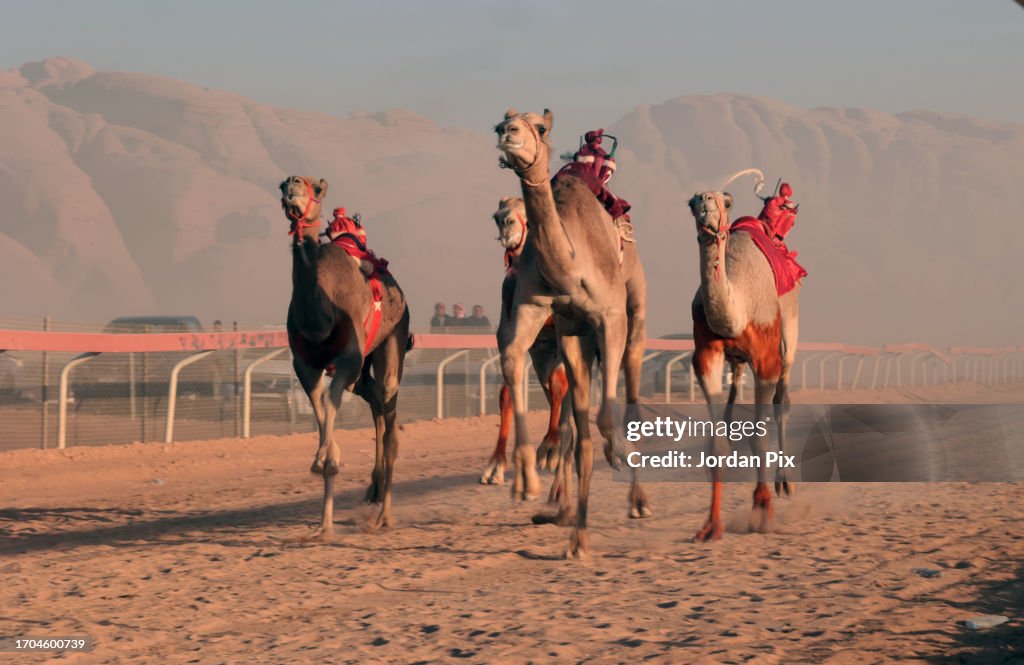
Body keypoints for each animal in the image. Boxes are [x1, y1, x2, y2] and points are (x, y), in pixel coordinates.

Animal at [279, 175, 412, 537]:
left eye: (315, 188)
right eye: (281, 186)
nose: (292, 186)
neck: (319, 319)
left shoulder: (349, 359)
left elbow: (329, 400)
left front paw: (327, 459)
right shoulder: (304, 365)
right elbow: (320, 407)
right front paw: (324, 521)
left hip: (392, 339)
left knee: (389, 413)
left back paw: (384, 516)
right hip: (364, 370)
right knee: (376, 403)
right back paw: (374, 491)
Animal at [482, 196, 574, 508]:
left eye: (528, 215)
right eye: (497, 216)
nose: (508, 226)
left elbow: (560, 384)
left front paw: (548, 446)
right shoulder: (512, 333)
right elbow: (506, 392)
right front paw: (495, 466)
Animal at [495, 109, 651, 558]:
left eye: (539, 127)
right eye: (503, 122)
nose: (508, 133)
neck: (569, 264)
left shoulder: (610, 317)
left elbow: (605, 417)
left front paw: (617, 453)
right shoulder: (544, 316)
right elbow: (513, 359)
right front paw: (526, 479)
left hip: (635, 314)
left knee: (629, 394)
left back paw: (638, 500)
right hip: (576, 339)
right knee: (579, 433)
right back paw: (574, 531)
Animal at [686, 171, 800, 542]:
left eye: (725, 201)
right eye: (691, 202)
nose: (705, 202)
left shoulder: (766, 360)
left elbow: (759, 436)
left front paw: (762, 510)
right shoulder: (705, 355)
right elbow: (716, 444)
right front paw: (710, 526)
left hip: (789, 335)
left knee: (783, 402)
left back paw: (785, 483)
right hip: (736, 362)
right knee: (734, 395)